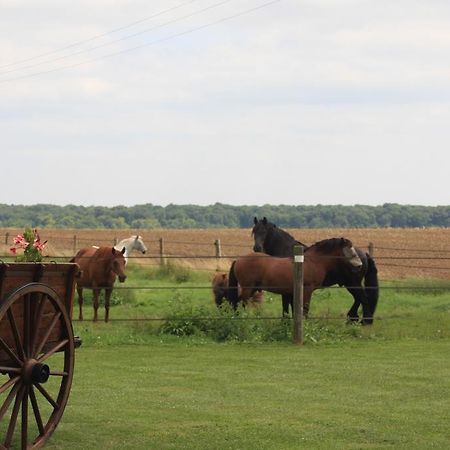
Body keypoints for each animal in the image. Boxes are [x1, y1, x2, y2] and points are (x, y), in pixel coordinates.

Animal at [227, 237, 374, 322]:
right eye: (349, 248)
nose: (359, 265)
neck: (312, 261)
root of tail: (238, 260)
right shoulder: (307, 290)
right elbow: (305, 308)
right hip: (248, 288)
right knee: (241, 303)